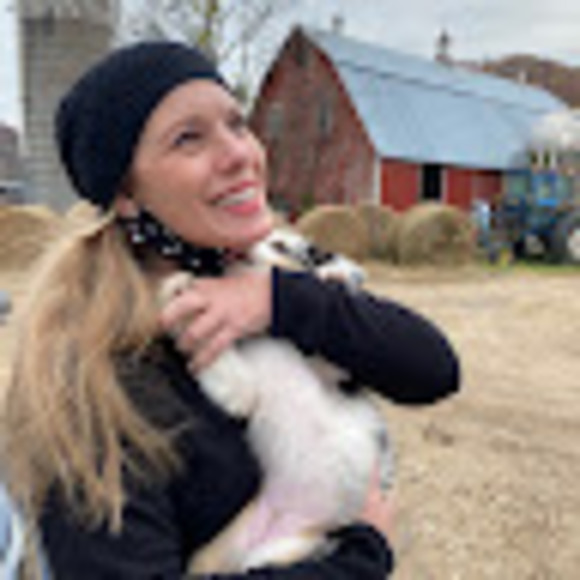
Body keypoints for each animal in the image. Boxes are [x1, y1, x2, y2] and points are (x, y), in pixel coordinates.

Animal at [158, 228, 394, 574]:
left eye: (279, 245)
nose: (235, 249)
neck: (274, 339)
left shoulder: (335, 374)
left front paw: (335, 276)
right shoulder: (244, 393)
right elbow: (225, 369)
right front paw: (178, 288)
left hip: (289, 548)